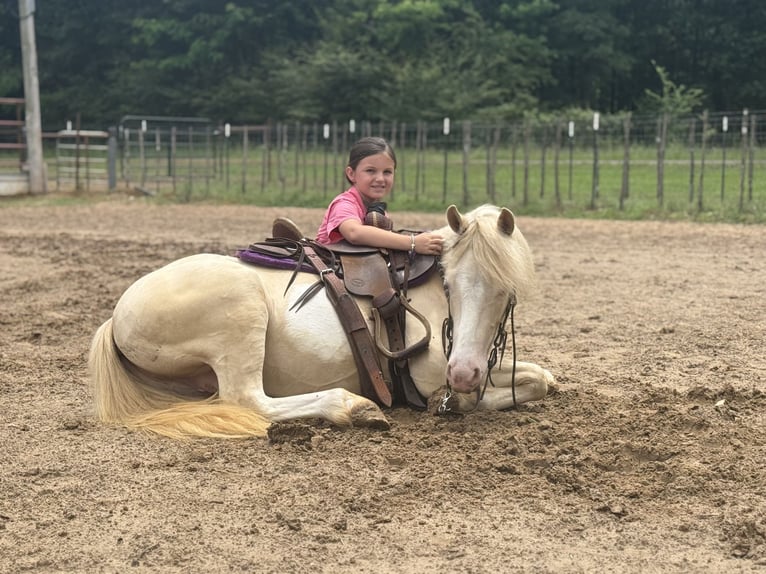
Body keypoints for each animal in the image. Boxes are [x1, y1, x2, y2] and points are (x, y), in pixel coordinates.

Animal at [88, 204, 554, 439]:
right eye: (450, 281)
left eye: (503, 289)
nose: (462, 374)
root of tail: (115, 318)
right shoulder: (426, 375)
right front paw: (454, 400)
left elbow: (540, 379)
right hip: (241, 314)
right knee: (247, 399)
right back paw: (352, 406)